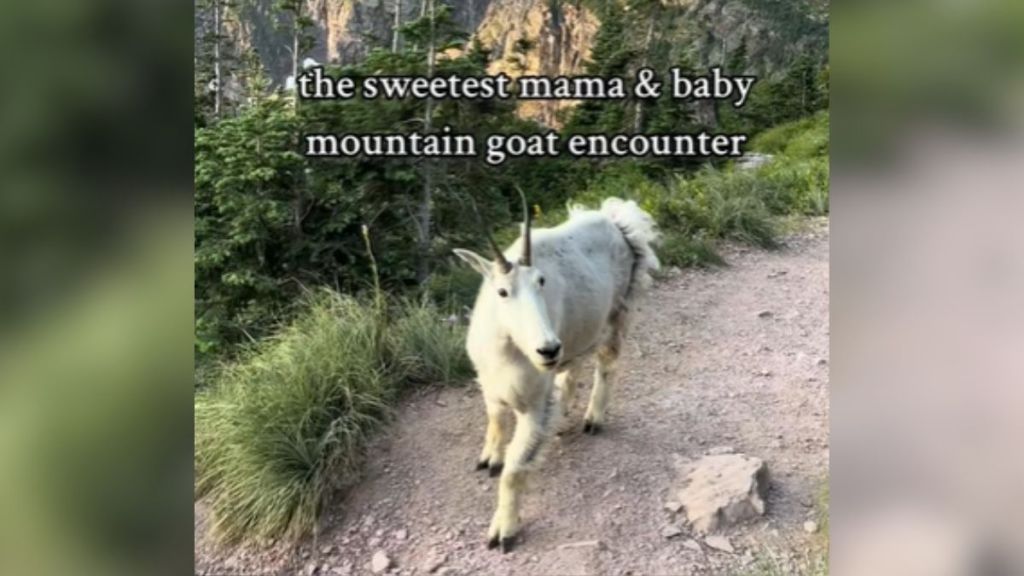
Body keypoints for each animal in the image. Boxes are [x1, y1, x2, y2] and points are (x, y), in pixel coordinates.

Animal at [452, 194, 659, 549]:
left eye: (541, 282)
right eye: (502, 292)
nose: (547, 349)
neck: (507, 351)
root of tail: (618, 220)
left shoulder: (532, 404)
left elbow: (514, 470)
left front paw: (503, 532)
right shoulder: (491, 388)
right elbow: (496, 422)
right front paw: (488, 459)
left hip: (618, 312)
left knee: (606, 363)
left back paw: (593, 419)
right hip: (576, 333)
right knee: (571, 370)